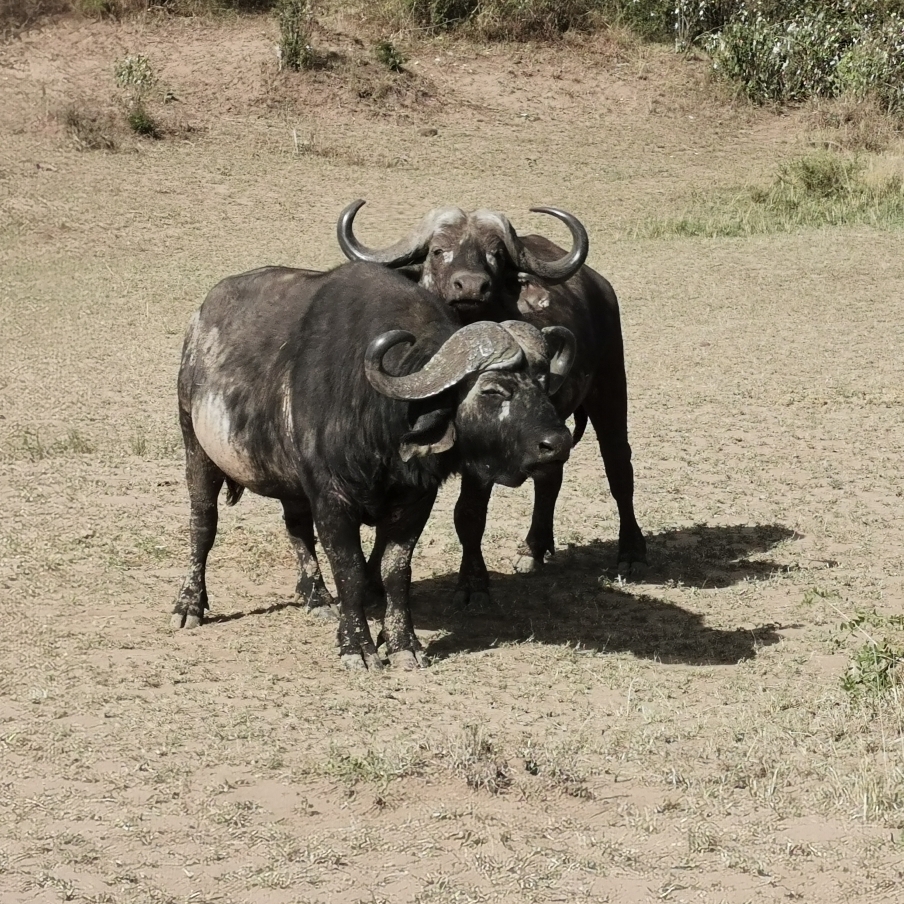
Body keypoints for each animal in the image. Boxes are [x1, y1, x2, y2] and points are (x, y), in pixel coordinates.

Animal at [173, 258, 576, 668]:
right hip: (196, 446)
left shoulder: (415, 500)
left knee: (296, 526)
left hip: (291, 483)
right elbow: (349, 569)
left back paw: (317, 597)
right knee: (203, 524)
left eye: (543, 382)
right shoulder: (331, 499)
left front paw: (402, 644)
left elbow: (395, 570)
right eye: (493, 389)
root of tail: (198, 326)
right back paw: (189, 604)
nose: (556, 443)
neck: (377, 418)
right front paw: (357, 646)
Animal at [336, 201, 648, 604]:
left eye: (496, 254)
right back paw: (534, 548)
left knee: (619, 466)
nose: (471, 285)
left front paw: (472, 583)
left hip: (610, 387)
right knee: (550, 475)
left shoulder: (482, 455)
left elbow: (468, 514)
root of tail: (599, 287)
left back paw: (631, 552)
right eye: (438, 250)